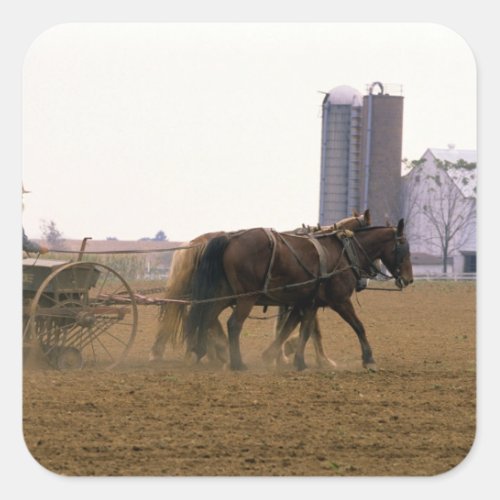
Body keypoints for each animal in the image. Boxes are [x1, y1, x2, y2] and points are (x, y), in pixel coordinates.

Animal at [148, 209, 372, 366]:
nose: (366, 278)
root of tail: (194, 244)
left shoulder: (298, 299)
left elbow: (292, 325)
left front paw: (283, 353)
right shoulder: (307, 298)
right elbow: (308, 328)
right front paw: (315, 358)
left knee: (200, 316)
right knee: (203, 317)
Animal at [186, 220, 412, 372]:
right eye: (404, 248)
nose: (409, 279)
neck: (345, 253)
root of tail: (230, 237)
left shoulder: (308, 303)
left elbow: (299, 329)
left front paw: (293, 360)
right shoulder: (340, 301)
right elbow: (358, 326)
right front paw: (369, 359)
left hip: (225, 294)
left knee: (206, 316)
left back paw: (201, 350)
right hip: (245, 298)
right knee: (233, 324)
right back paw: (237, 363)